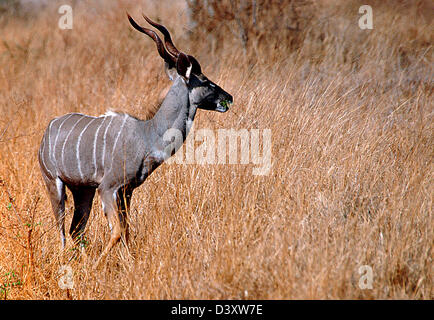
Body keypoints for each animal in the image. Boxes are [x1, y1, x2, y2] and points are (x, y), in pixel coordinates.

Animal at [38, 13, 234, 266]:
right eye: (206, 80)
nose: (229, 97)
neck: (147, 133)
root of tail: (48, 130)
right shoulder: (108, 187)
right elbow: (117, 232)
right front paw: (97, 265)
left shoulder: (126, 191)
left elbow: (127, 232)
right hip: (54, 183)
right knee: (62, 231)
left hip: (83, 191)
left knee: (75, 230)